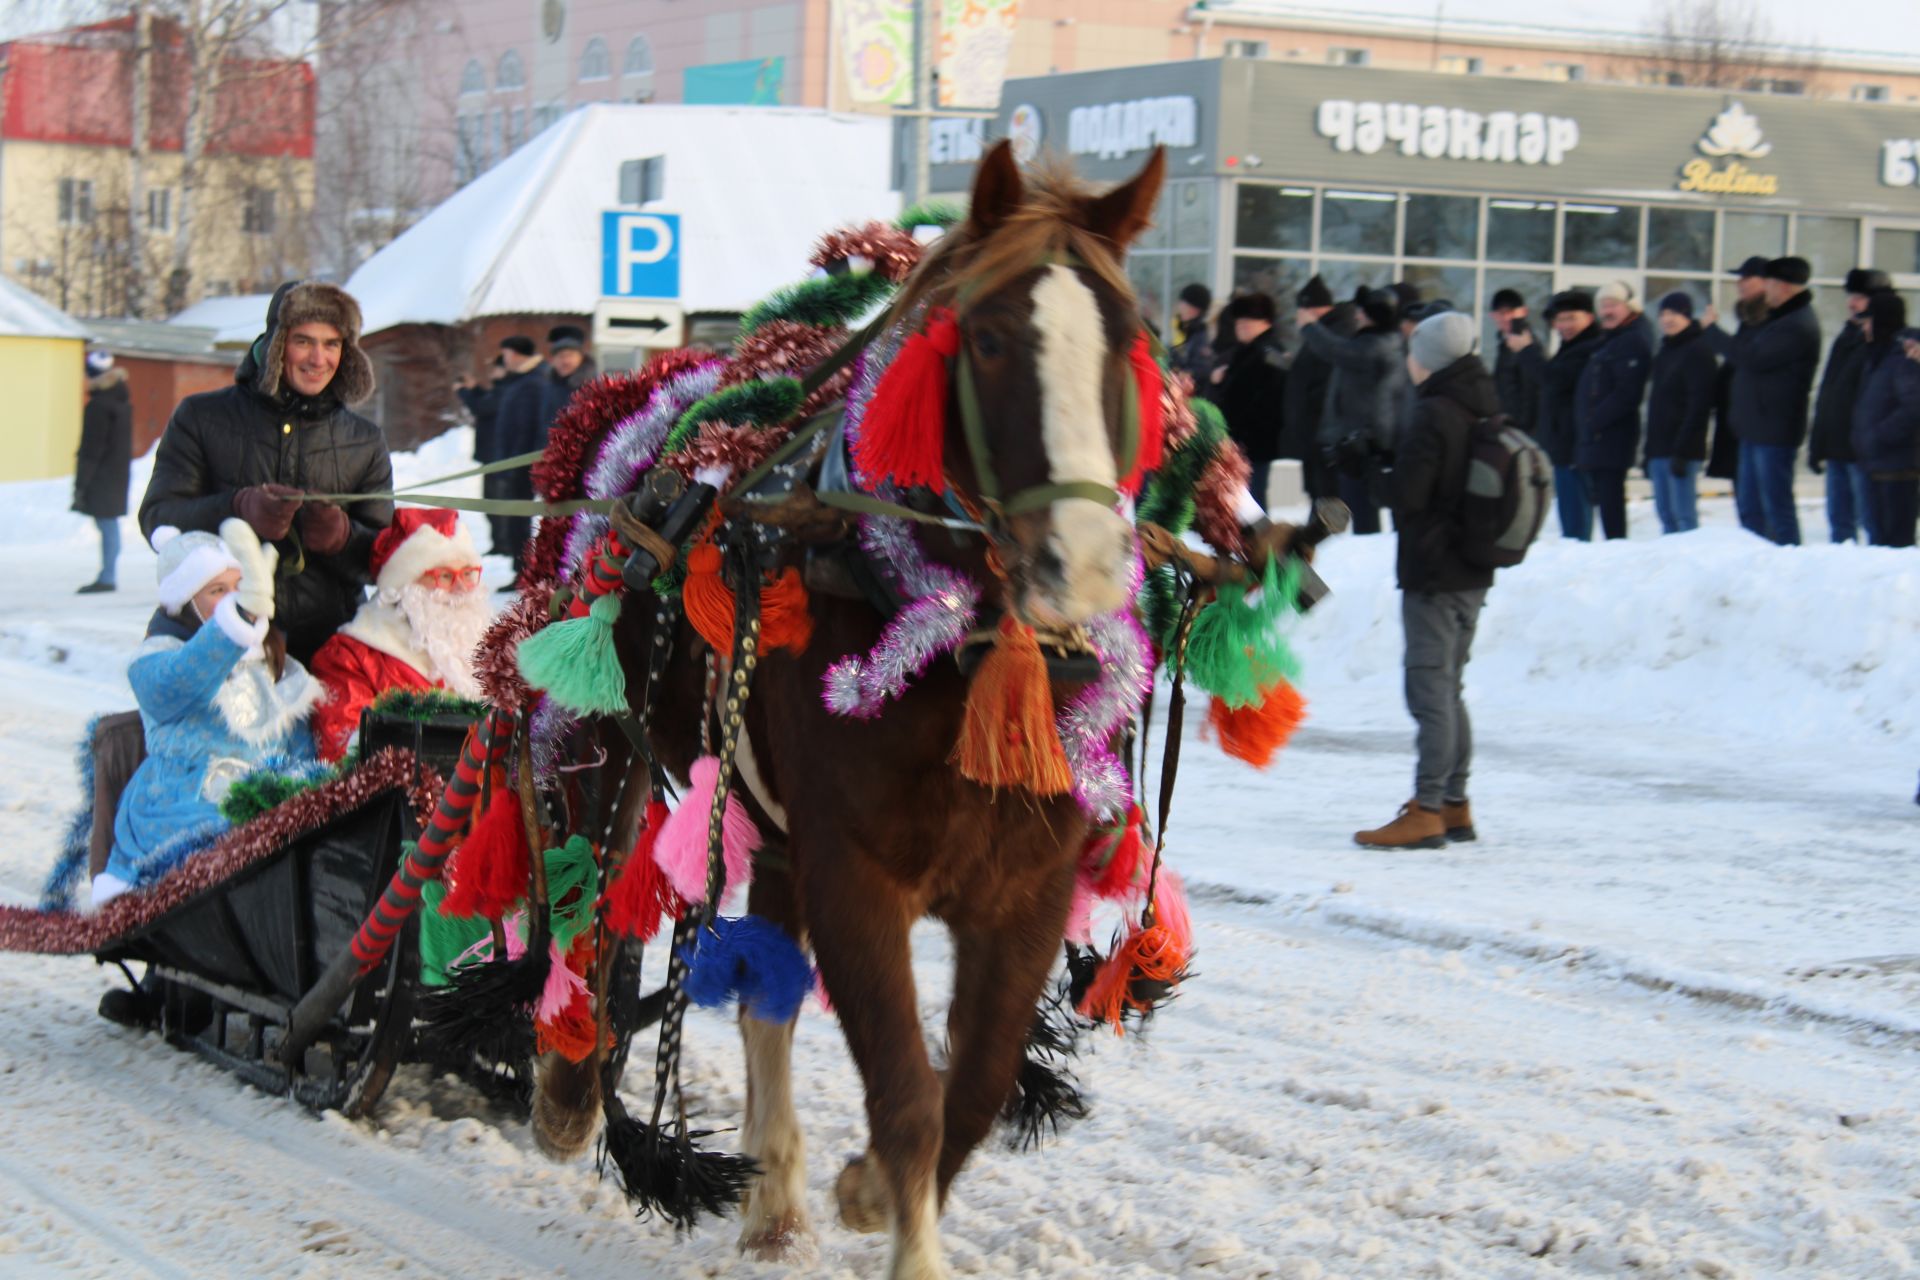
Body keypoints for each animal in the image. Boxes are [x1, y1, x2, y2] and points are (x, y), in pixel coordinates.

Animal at [541, 142, 1167, 1280]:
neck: (966, 648)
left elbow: (971, 1089)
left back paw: (774, 1194)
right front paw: (901, 1222)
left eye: (1130, 337)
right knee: (591, 899)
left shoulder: (1026, 890)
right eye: (993, 337)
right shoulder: (856, 870)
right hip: (612, 729)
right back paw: (570, 1084)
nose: (1085, 565)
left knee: (766, 1001)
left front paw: (868, 1187)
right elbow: (908, 1092)